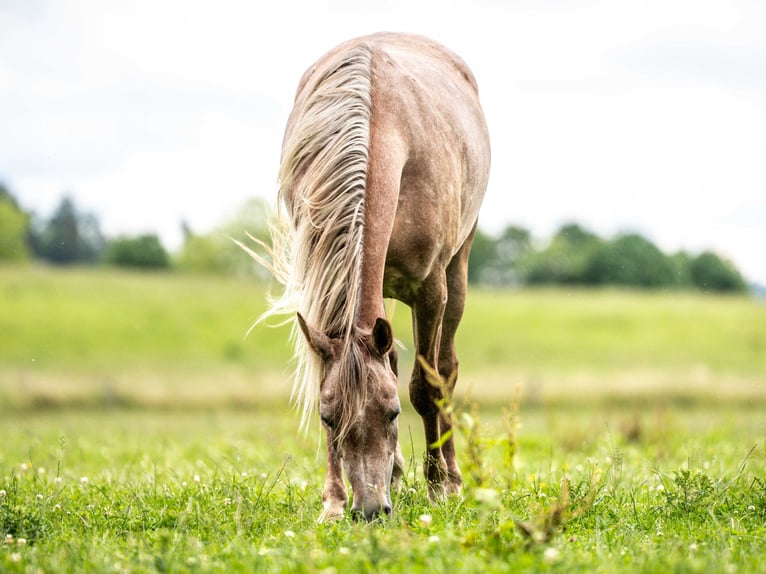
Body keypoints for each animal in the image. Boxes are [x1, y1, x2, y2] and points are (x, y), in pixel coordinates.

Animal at [255, 33, 488, 524]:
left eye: (393, 413)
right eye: (328, 418)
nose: (369, 508)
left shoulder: (429, 290)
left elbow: (427, 386)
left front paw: (437, 487)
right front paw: (333, 501)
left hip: (457, 271)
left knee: (447, 369)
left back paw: (452, 477)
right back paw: (398, 475)